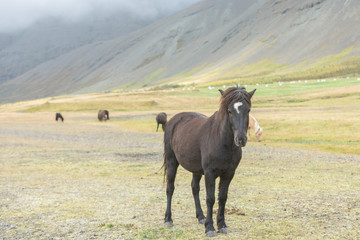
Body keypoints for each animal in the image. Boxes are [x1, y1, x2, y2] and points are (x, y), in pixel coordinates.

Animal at [163, 87, 256, 237]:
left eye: (248, 110)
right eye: (229, 111)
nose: (241, 139)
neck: (221, 141)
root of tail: (173, 121)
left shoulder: (229, 174)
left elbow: (222, 197)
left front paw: (221, 225)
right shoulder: (209, 173)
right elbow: (210, 198)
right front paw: (210, 228)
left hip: (196, 169)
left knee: (194, 188)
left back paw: (200, 217)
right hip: (172, 162)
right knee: (170, 188)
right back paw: (168, 219)